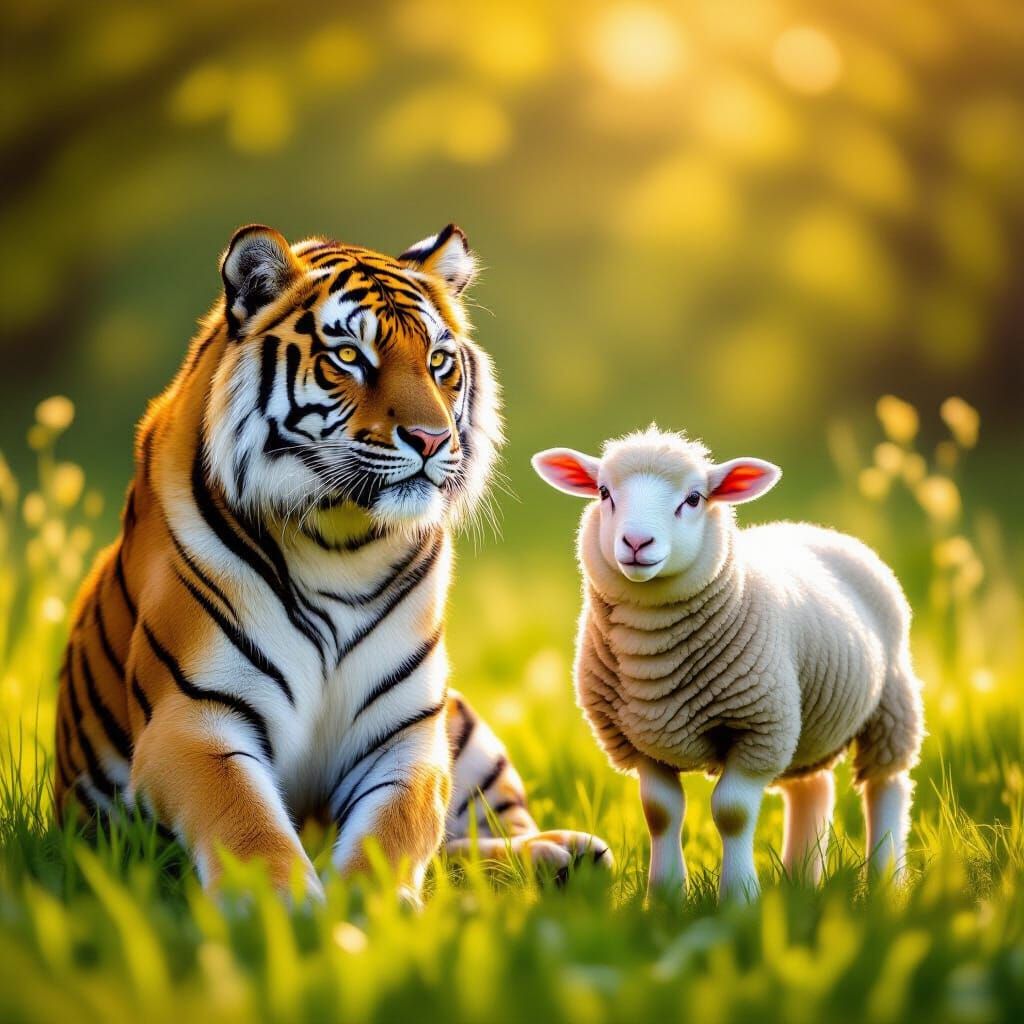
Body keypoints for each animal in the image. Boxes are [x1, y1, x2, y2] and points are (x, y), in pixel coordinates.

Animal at [54, 223, 609, 899]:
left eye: (439, 362)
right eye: (349, 356)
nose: (432, 439)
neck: (342, 545)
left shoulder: (405, 733)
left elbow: (396, 830)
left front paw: (369, 908)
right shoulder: (192, 721)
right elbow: (247, 826)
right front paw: (287, 911)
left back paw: (562, 854)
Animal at [532, 426, 924, 902]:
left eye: (694, 498)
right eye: (604, 492)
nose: (637, 543)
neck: (651, 661)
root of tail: (815, 529)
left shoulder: (758, 729)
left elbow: (732, 812)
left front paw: (739, 897)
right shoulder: (640, 739)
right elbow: (660, 813)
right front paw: (663, 897)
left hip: (891, 702)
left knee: (888, 786)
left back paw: (886, 883)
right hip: (805, 726)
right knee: (813, 789)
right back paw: (800, 883)